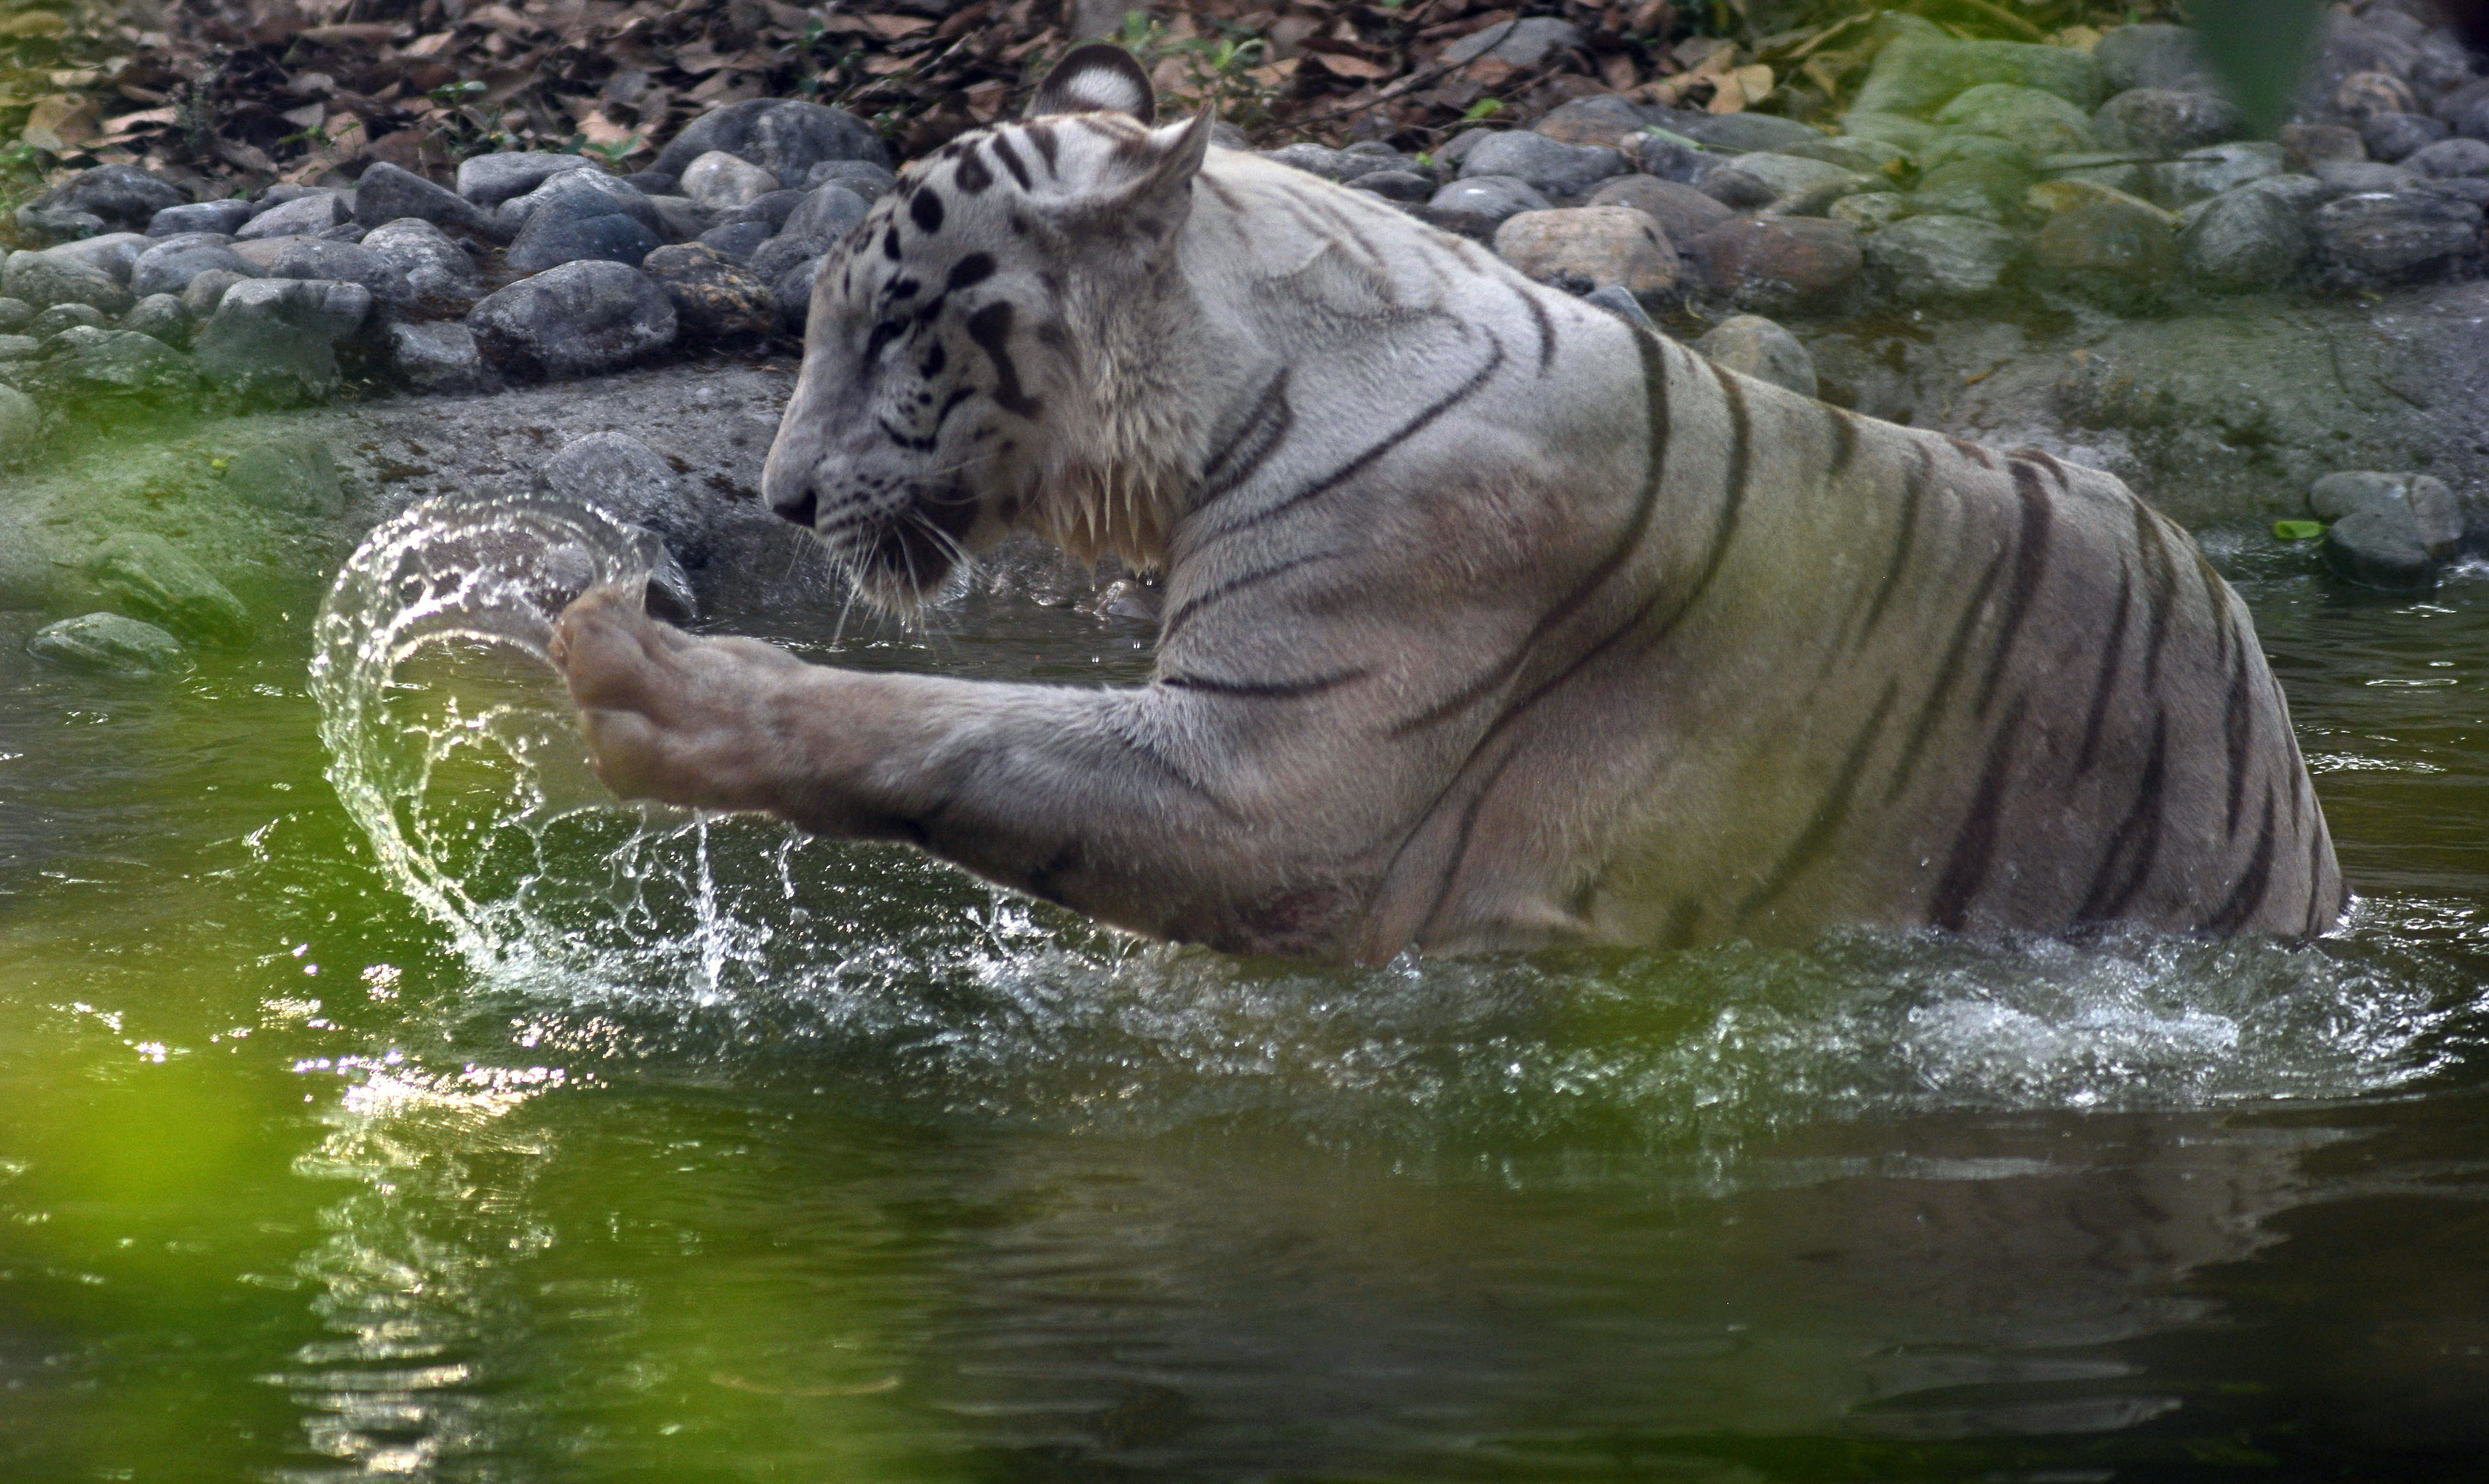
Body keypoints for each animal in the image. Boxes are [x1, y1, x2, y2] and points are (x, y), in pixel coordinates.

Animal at [547, 42, 2348, 961]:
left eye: (890, 328)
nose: (781, 498)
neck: (1233, 390)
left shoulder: (1277, 782)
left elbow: (945, 726)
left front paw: (645, 675)